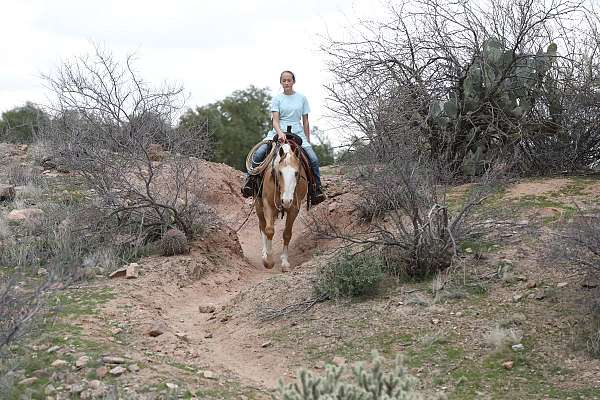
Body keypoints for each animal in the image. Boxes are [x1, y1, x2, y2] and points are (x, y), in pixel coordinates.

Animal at [254, 141, 308, 272]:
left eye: (296, 173)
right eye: (280, 172)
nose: (286, 200)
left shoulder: (294, 208)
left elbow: (287, 233)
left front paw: (284, 262)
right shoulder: (268, 205)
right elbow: (269, 230)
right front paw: (268, 260)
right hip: (259, 206)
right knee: (262, 226)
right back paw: (264, 252)